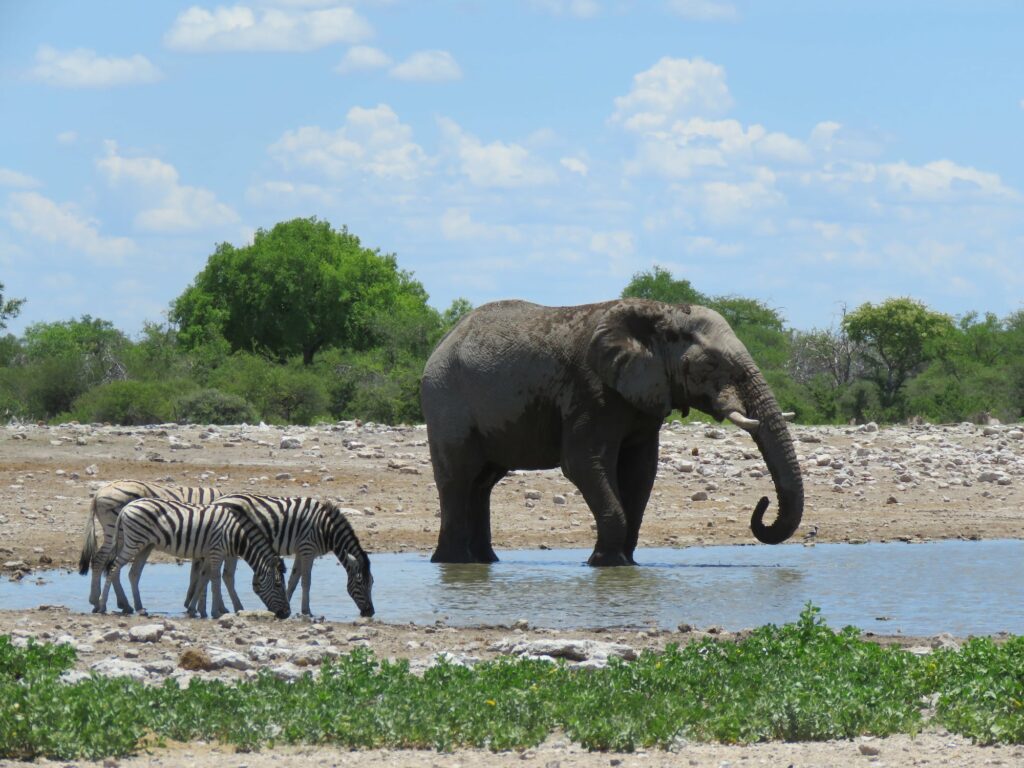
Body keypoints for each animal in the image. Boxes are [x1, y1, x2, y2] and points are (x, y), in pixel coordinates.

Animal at [79, 481, 222, 614]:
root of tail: (99, 492)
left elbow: (196, 575)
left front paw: (191, 603)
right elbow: (204, 576)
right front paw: (201, 606)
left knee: (110, 564)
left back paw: (121, 604)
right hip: (117, 531)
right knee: (101, 560)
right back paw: (97, 601)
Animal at [98, 499, 288, 618]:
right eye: (278, 585)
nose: (286, 614)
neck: (235, 533)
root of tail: (127, 507)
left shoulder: (208, 554)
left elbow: (203, 578)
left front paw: (194, 610)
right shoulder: (217, 551)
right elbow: (215, 579)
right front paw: (216, 612)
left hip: (145, 545)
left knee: (133, 573)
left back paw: (138, 607)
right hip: (133, 542)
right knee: (114, 568)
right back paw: (102, 605)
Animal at [186, 495, 374, 622]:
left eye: (372, 583)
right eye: (360, 583)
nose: (370, 612)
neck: (325, 528)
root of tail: (217, 501)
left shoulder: (301, 551)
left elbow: (294, 579)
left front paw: (288, 602)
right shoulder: (307, 549)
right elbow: (306, 581)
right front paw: (306, 610)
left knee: (211, 574)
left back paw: (202, 609)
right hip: (229, 546)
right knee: (225, 575)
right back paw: (229, 608)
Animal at [419, 296, 802, 569]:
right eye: (711, 364)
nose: (763, 503)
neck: (661, 313)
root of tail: (441, 343)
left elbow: (640, 472)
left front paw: (625, 563)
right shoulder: (591, 390)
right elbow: (583, 462)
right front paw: (605, 564)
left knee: (482, 482)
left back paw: (484, 562)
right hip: (446, 400)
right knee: (458, 477)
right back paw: (454, 562)